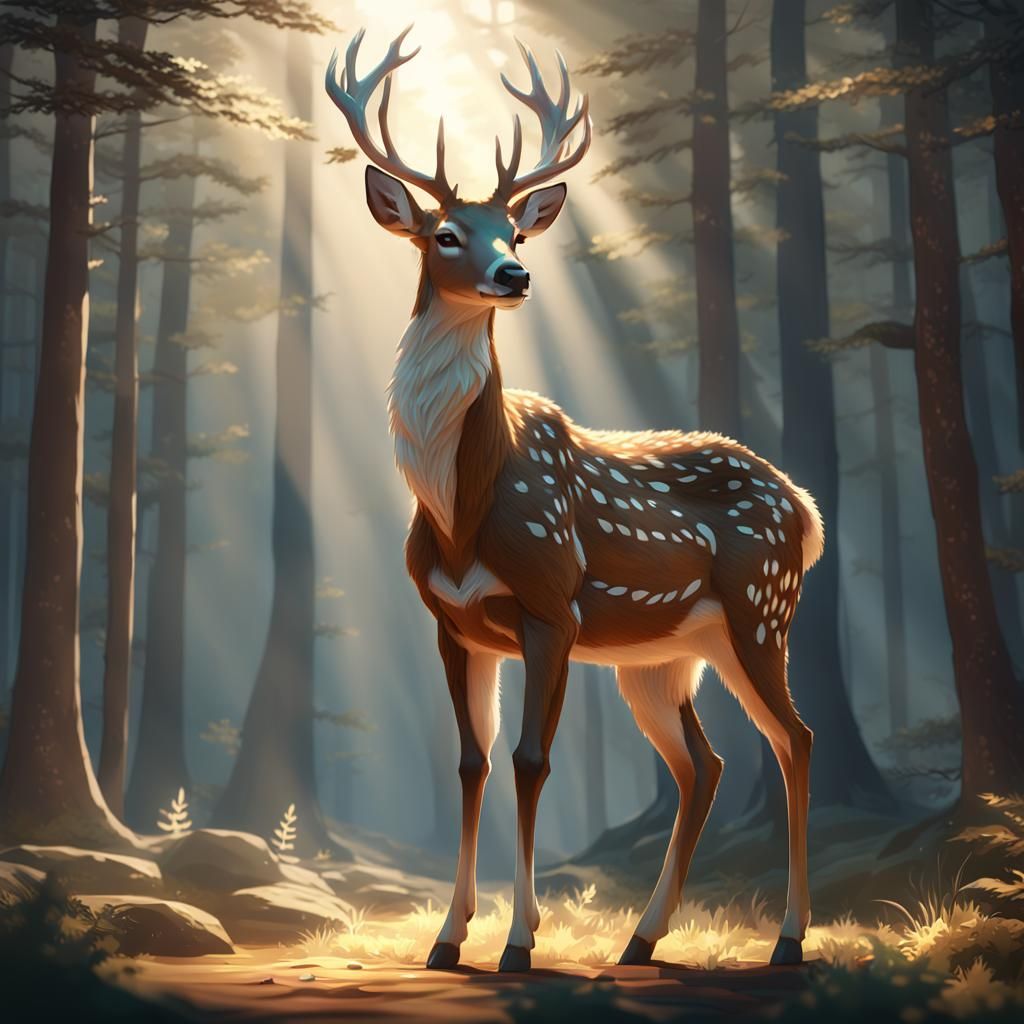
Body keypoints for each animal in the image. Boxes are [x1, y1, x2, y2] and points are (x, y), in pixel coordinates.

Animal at [325, 27, 822, 973]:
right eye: (447, 232)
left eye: (516, 228)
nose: (514, 274)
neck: (460, 512)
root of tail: (806, 510)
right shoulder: (452, 622)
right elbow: (472, 762)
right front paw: (448, 940)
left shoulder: (551, 604)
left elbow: (530, 760)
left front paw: (519, 943)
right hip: (661, 656)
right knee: (704, 763)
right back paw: (641, 939)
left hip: (760, 611)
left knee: (794, 740)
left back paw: (785, 939)